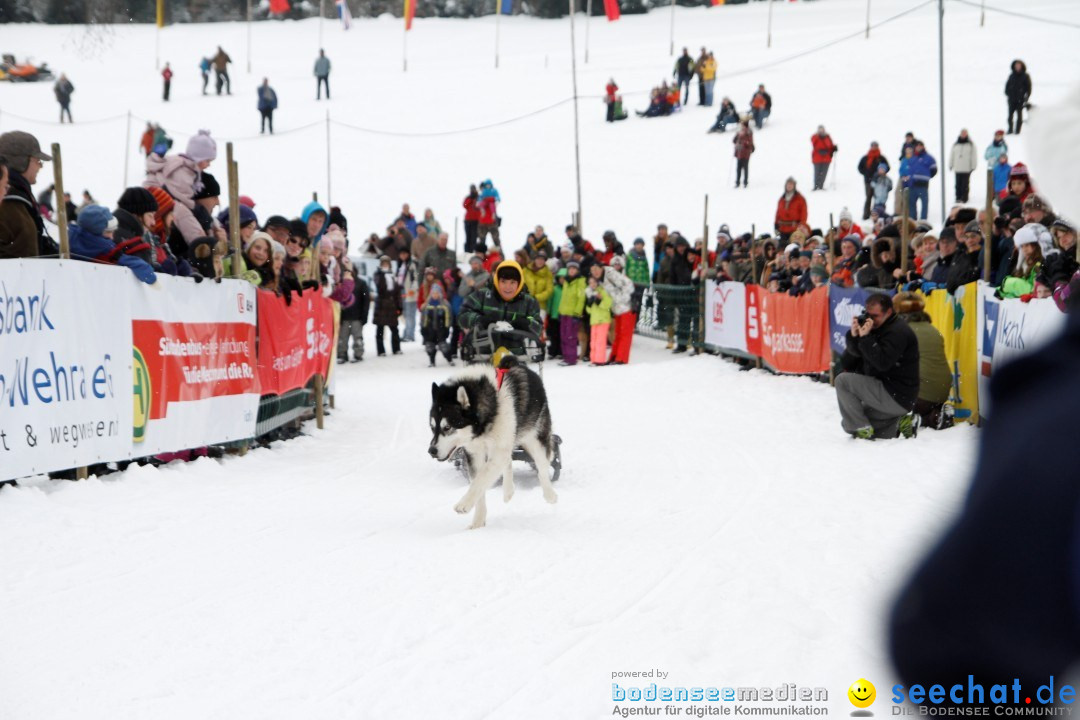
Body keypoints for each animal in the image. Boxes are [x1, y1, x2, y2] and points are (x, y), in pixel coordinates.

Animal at [425, 356, 557, 528]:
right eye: (432, 427)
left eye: (447, 427)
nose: (431, 451)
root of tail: (518, 364)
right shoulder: (474, 453)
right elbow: (479, 482)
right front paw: (478, 523)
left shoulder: (499, 449)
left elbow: (480, 479)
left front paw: (464, 504)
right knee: (508, 460)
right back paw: (508, 490)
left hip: (534, 438)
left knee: (542, 465)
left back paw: (550, 494)